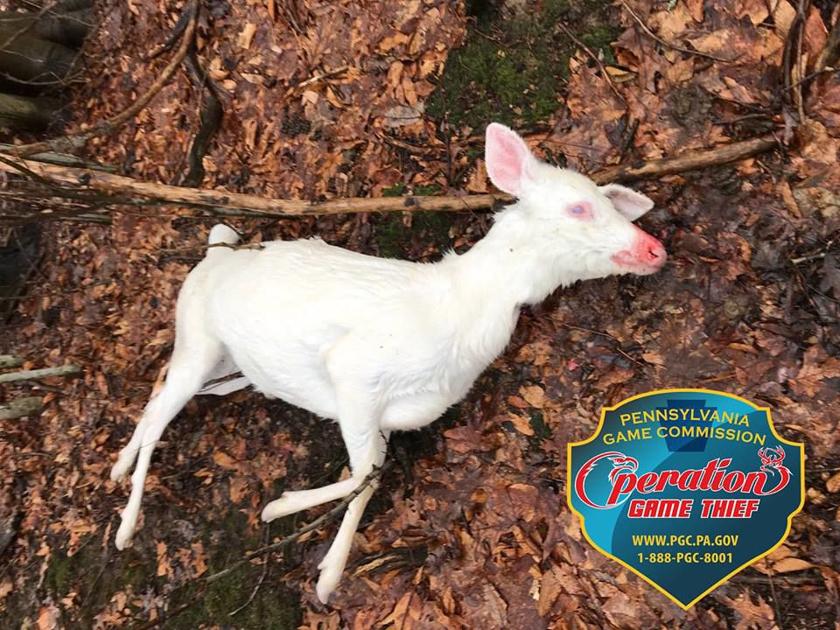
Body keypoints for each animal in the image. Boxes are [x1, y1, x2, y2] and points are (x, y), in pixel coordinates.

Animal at [109, 123, 666, 603]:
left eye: (614, 204)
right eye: (579, 207)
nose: (655, 249)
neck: (459, 323)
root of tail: (216, 249)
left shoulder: (389, 413)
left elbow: (371, 472)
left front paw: (312, 551)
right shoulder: (354, 368)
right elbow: (367, 472)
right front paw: (293, 529)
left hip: (229, 369)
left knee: (158, 396)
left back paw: (117, 467)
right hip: (199, 334)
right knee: (161, 414)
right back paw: (125, 526)